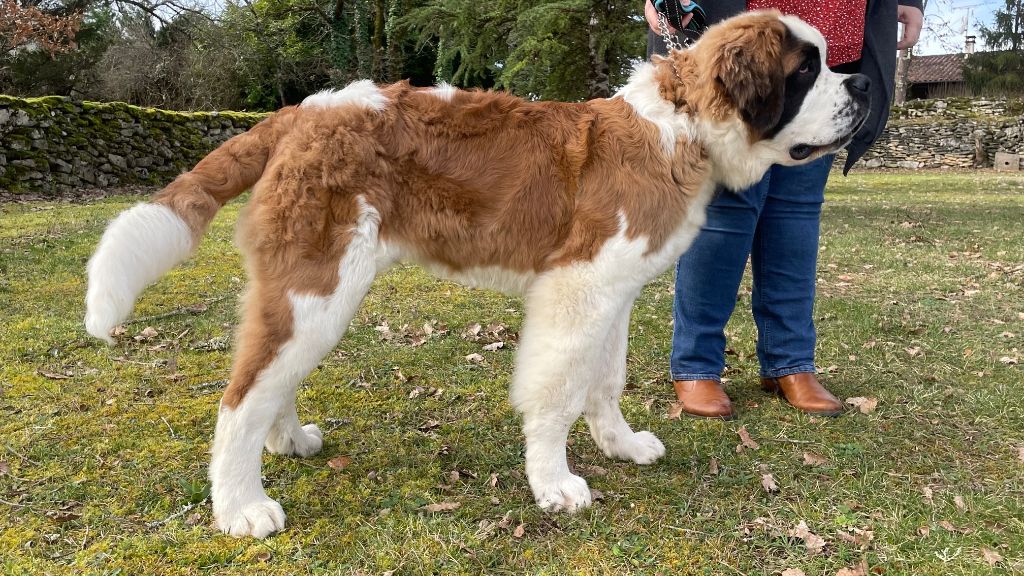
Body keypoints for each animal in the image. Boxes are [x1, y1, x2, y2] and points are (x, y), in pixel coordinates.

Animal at [86, 11, 872, 537]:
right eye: (806, 70)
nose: (864, 81)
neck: (680, 124)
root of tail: (300, 111)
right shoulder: (576, 289)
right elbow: (557, 391)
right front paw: (554, 483)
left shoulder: (613, 292)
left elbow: (605, 378)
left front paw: (620, 444)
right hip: (322, 283)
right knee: (240, 396)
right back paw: (240, 505)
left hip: (312, 290)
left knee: (271, 374)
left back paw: (287, 441)